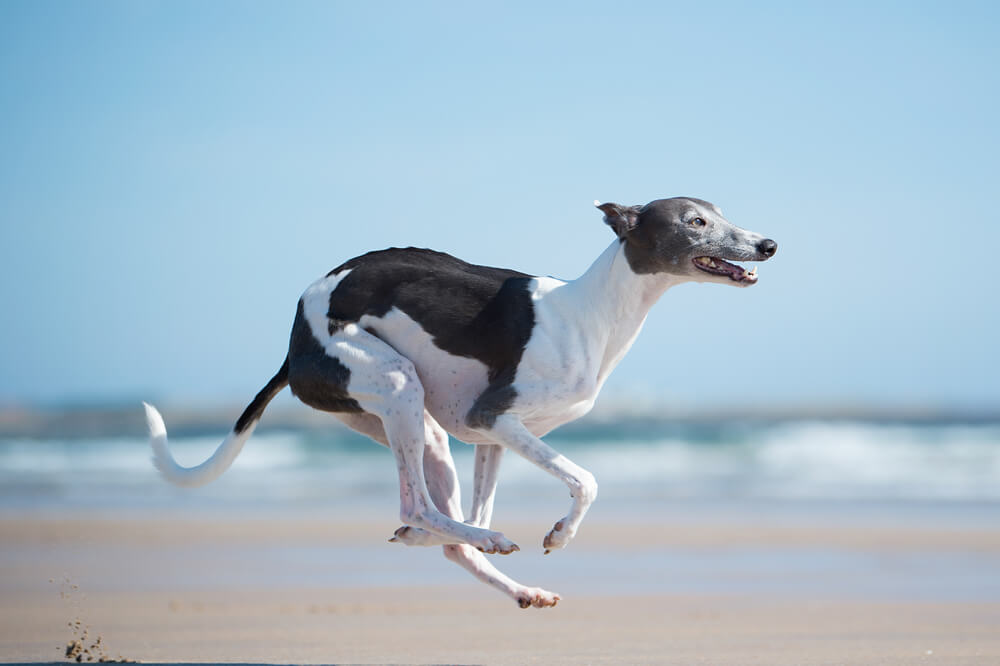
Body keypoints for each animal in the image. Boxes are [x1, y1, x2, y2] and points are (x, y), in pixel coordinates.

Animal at [145, 196, 776, 608]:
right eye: (696, 221)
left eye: (719, 213)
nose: (769, 244)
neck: (590, 311)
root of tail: (294, 343)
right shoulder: (492, 415)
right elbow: (587, 479)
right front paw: (560, 534)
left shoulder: (490, 435)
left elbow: (491, 505)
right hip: (397, 383)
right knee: (416, 506)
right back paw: (469, 538)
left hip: (418, 425)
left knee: (450, 533)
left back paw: (507, 577)